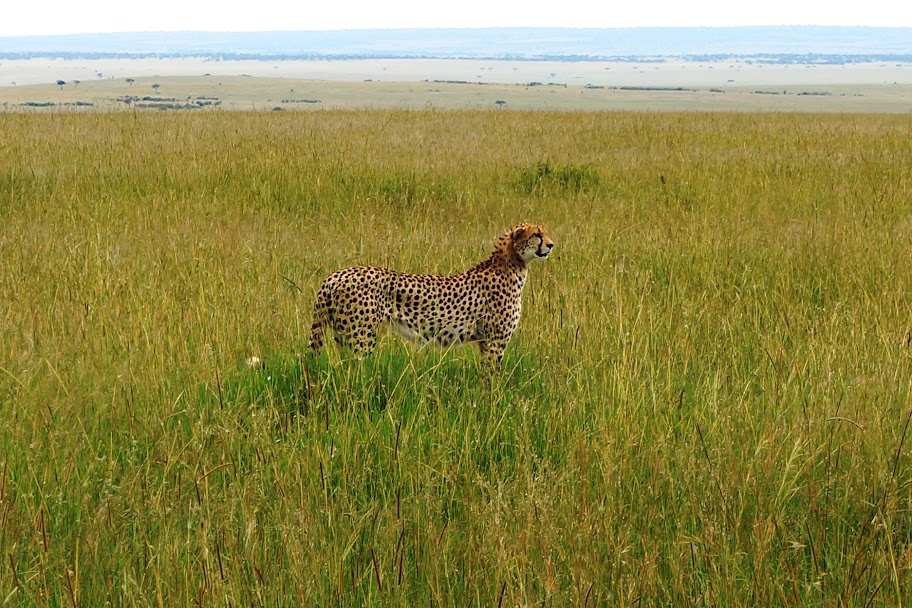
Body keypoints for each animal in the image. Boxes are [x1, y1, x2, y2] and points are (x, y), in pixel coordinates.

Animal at [310, 222, 556, 368]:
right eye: (537, 234)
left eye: (545, 233)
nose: (552, 245)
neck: (513, 263)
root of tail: (335, 275)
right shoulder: (494, 341)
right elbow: (491, 378)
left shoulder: (485, 342)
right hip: (361, 337)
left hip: (343, 336)